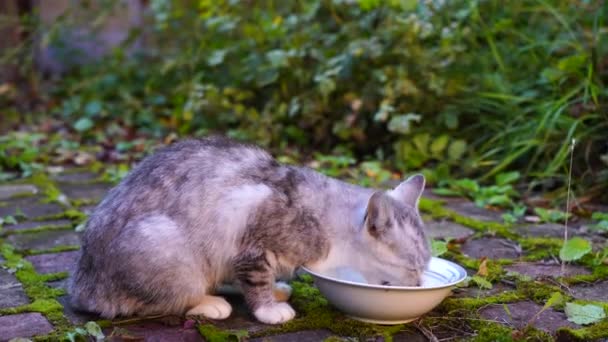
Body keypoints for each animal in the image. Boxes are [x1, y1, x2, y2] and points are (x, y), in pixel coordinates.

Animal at [70, 136, 432, 324]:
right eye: (412, 266)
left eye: (424, 266)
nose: (419, 284)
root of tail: (82, 285)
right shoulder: (252, 234)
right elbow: (256, 278)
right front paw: (268, 308)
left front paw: (272, 292)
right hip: (164, 244)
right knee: (156, 300)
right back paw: (209, 302)